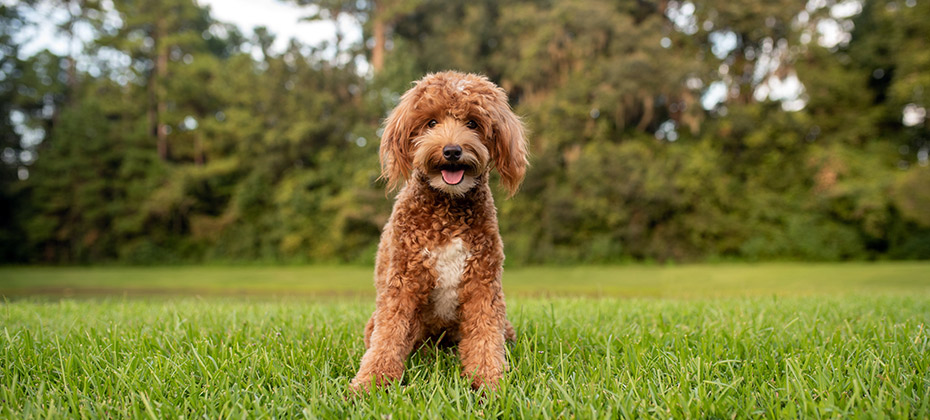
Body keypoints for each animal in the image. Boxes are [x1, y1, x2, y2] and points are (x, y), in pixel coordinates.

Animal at [348, 70, 524, 392]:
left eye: (473, 123)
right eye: (431, 122)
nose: (452, 150)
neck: (447, 209)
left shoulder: (482, 283)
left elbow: (484, 336)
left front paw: (489, 381)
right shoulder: (403, 282)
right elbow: (388, 337)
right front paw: (371, 382)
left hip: (505, 326)